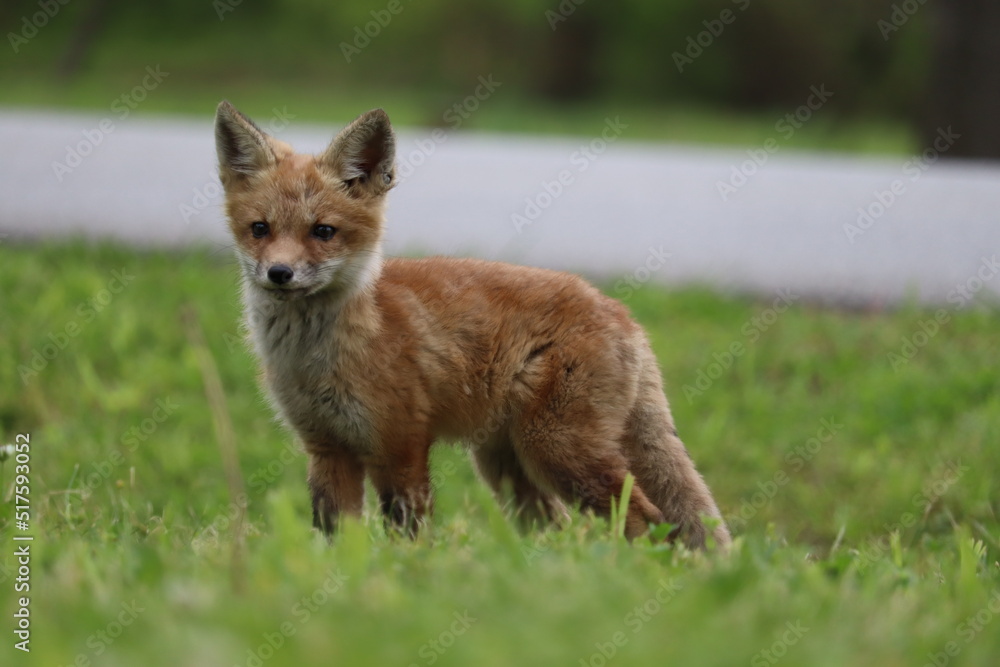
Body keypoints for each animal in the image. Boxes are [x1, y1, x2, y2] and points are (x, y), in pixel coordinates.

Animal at [215, 100, 731, 549]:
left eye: (323, 232)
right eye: (260, 229)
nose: (279, 273)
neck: (317, 358)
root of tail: (622, 312)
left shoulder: (400, 446)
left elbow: (408, 537)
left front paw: (410, 574)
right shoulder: (326, 449)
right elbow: (337, 538)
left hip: (560, 451)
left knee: (650, 521)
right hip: (507, 463)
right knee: (559, 528)